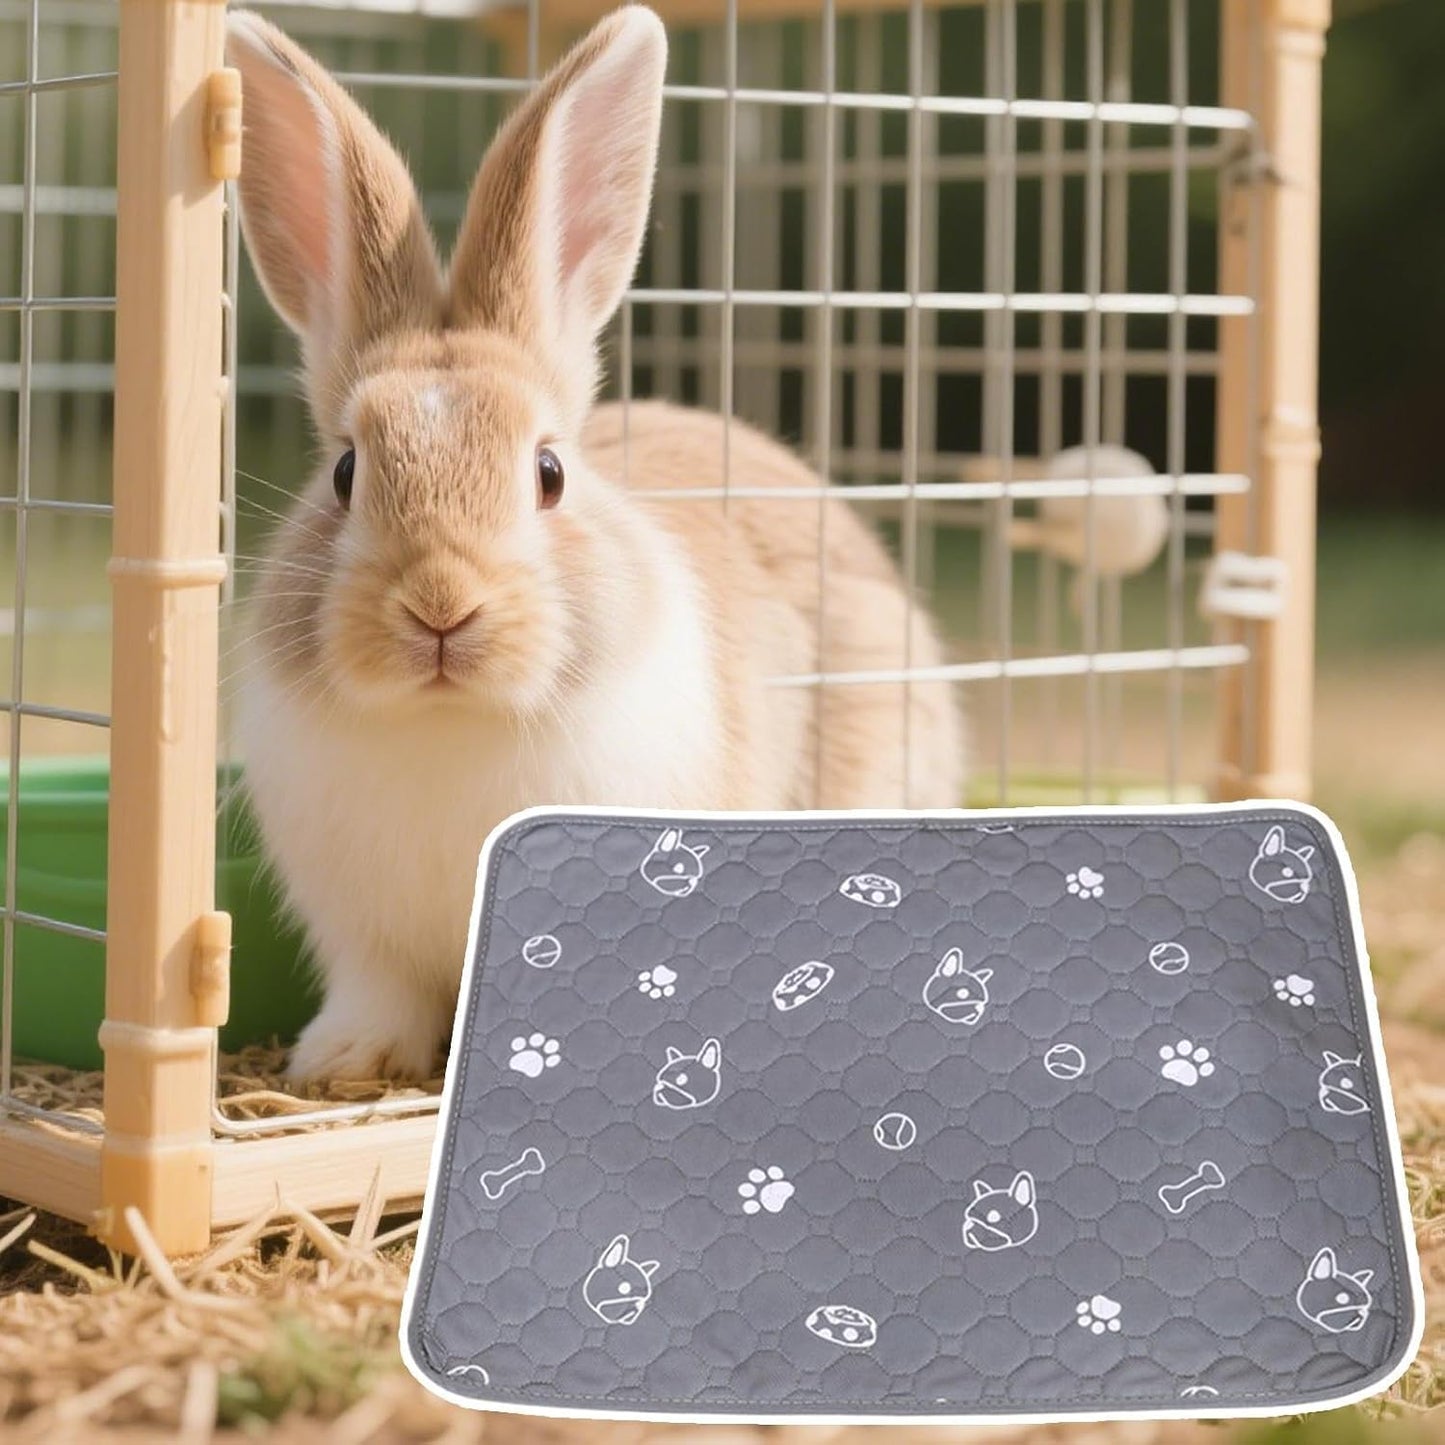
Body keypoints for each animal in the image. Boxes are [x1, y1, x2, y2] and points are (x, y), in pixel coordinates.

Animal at [225, 6, 965, 1083]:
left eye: (548, 473)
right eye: (345, 473)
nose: (440, 606)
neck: (452, 725)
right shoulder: (361, 936)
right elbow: (380, 991)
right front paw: (342, 1060)